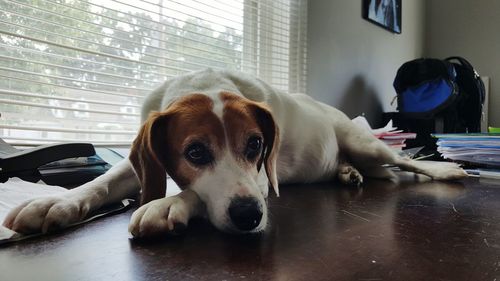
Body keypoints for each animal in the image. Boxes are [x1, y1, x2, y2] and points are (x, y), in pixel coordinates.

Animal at [1, 68, 466, 236]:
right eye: (195, 152)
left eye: (255, 145)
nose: (249, 216)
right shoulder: (141, 162)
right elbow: (101, 182)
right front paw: (56, 203)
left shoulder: (261, 175)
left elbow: (194, 193)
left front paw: (169, 203)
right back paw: (347, 174)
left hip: (364, 144)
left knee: (404, 162)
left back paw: (449, 170)